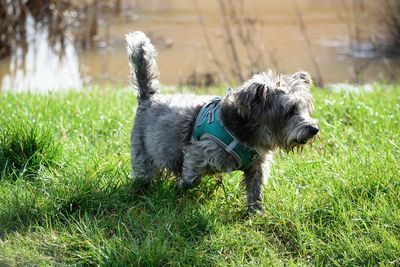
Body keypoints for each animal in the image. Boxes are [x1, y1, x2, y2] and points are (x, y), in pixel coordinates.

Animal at [125, 31, 318, 215]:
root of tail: (148, 97)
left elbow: (255, 188)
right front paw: (179, 187)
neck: (245, 134)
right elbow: (191, 178)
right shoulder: (198, 152)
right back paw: (142, 190)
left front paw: (256, 212)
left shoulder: (257, 165)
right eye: (290, 110)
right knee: (144, 172)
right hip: (142, 151)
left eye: (304, 108)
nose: (314, 129)